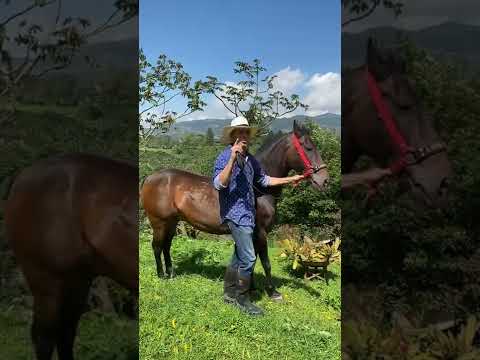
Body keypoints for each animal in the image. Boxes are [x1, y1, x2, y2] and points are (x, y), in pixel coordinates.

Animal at [140, 121, 330, 300]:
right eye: (308, 147)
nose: (324, 180)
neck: (258, 188)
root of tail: (150, 178)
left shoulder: (252, 234)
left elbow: (252, 261)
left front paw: (251, 288)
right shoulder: (260, 233)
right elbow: (265, 262)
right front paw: (272, 291)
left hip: (172, 222)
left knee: (166, 246)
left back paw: (170, 272)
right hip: (159, 223)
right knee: (157, 246)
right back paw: (161, 275)